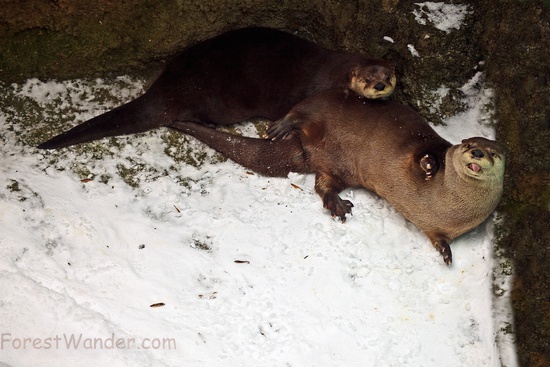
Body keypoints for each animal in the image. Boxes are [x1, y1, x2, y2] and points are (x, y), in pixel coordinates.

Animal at [36, 25, 396, 150]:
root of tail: (168, 87)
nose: (380, 85)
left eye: (390, 75)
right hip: (219, 99)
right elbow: (300, 111)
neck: (338, 71)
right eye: (367, 79)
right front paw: (280, 128)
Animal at [169, 90, 508, 266]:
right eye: (468, 144)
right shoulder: (422, 151)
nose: (478, 153)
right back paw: (282, 126)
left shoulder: (441, 228)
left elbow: (439, 240)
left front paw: (446, 254)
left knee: (322, 185)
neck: (448, 202)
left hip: (340, 169)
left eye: (494, 153)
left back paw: (337, 205)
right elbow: (423, 153)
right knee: (302, 110)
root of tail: (305, 146)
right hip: (328, 104)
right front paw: (428, 164)